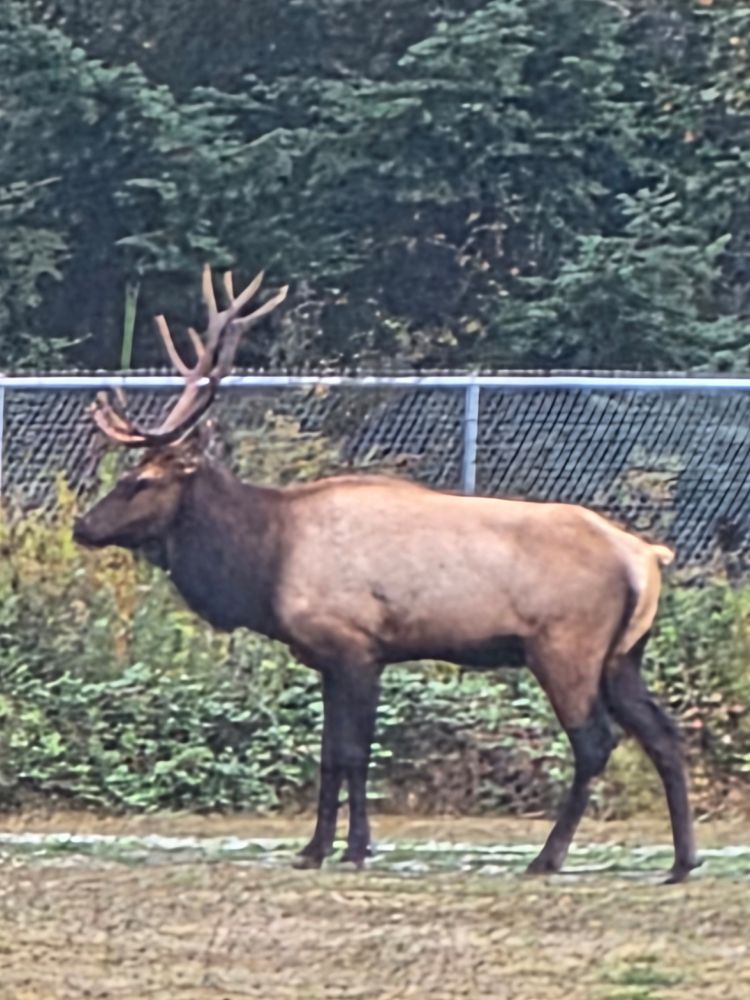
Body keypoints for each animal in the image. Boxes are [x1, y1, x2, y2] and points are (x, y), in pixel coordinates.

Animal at [73, 265, 699, 883]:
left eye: (142, 481)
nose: (83, 525)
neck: (265, 564)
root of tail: (646, 556)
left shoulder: (356, 646)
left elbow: (352, 753)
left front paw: (352, 848)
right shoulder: (331, 657)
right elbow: (330, 754)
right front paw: (314, 849)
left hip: (566, 647)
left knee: (595, 743)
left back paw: (548, 857)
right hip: (623, 656)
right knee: (664, 736)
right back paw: (681, 860)